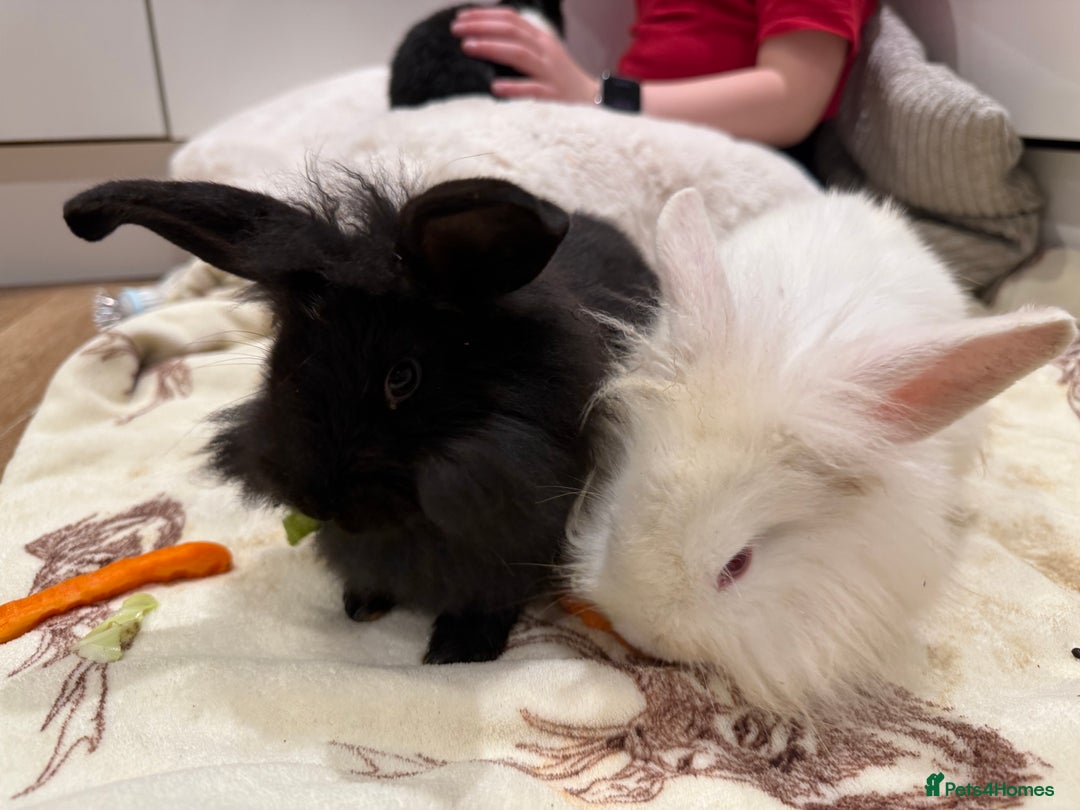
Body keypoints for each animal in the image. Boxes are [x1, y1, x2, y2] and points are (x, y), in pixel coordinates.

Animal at [63, 173, 657, 664]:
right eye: (280, 363)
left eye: (404, 378)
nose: (318, 501)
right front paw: (362, 605)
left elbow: (488, 598)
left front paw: (457, 651)